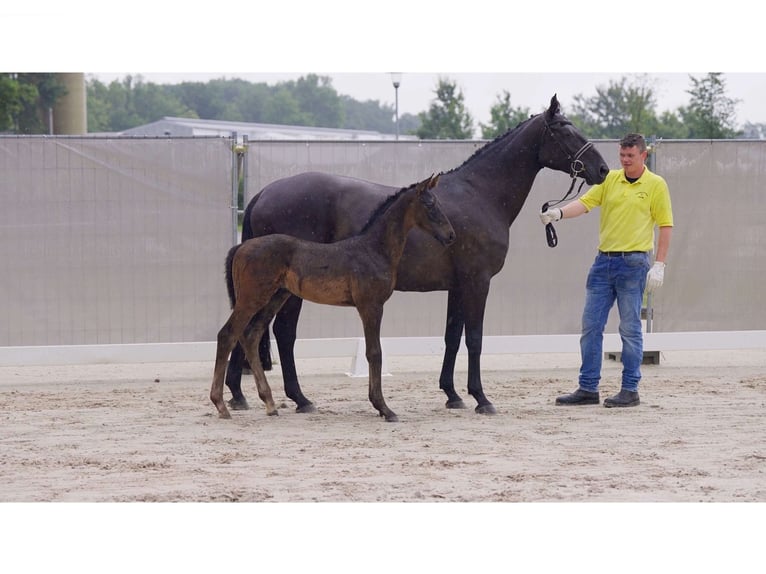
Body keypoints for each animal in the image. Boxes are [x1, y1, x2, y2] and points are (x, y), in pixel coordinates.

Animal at [225, 97, 608, 416]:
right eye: (564, 130)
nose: (602, 170)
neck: (480, 194)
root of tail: (262, 194)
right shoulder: (477, 282)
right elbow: (475, 338)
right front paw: (481, 398)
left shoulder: (458, 286)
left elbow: (452, 337)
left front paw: (452, 395)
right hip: (285, 291)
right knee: (281, 332)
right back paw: (299, 399)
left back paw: (239, 394)